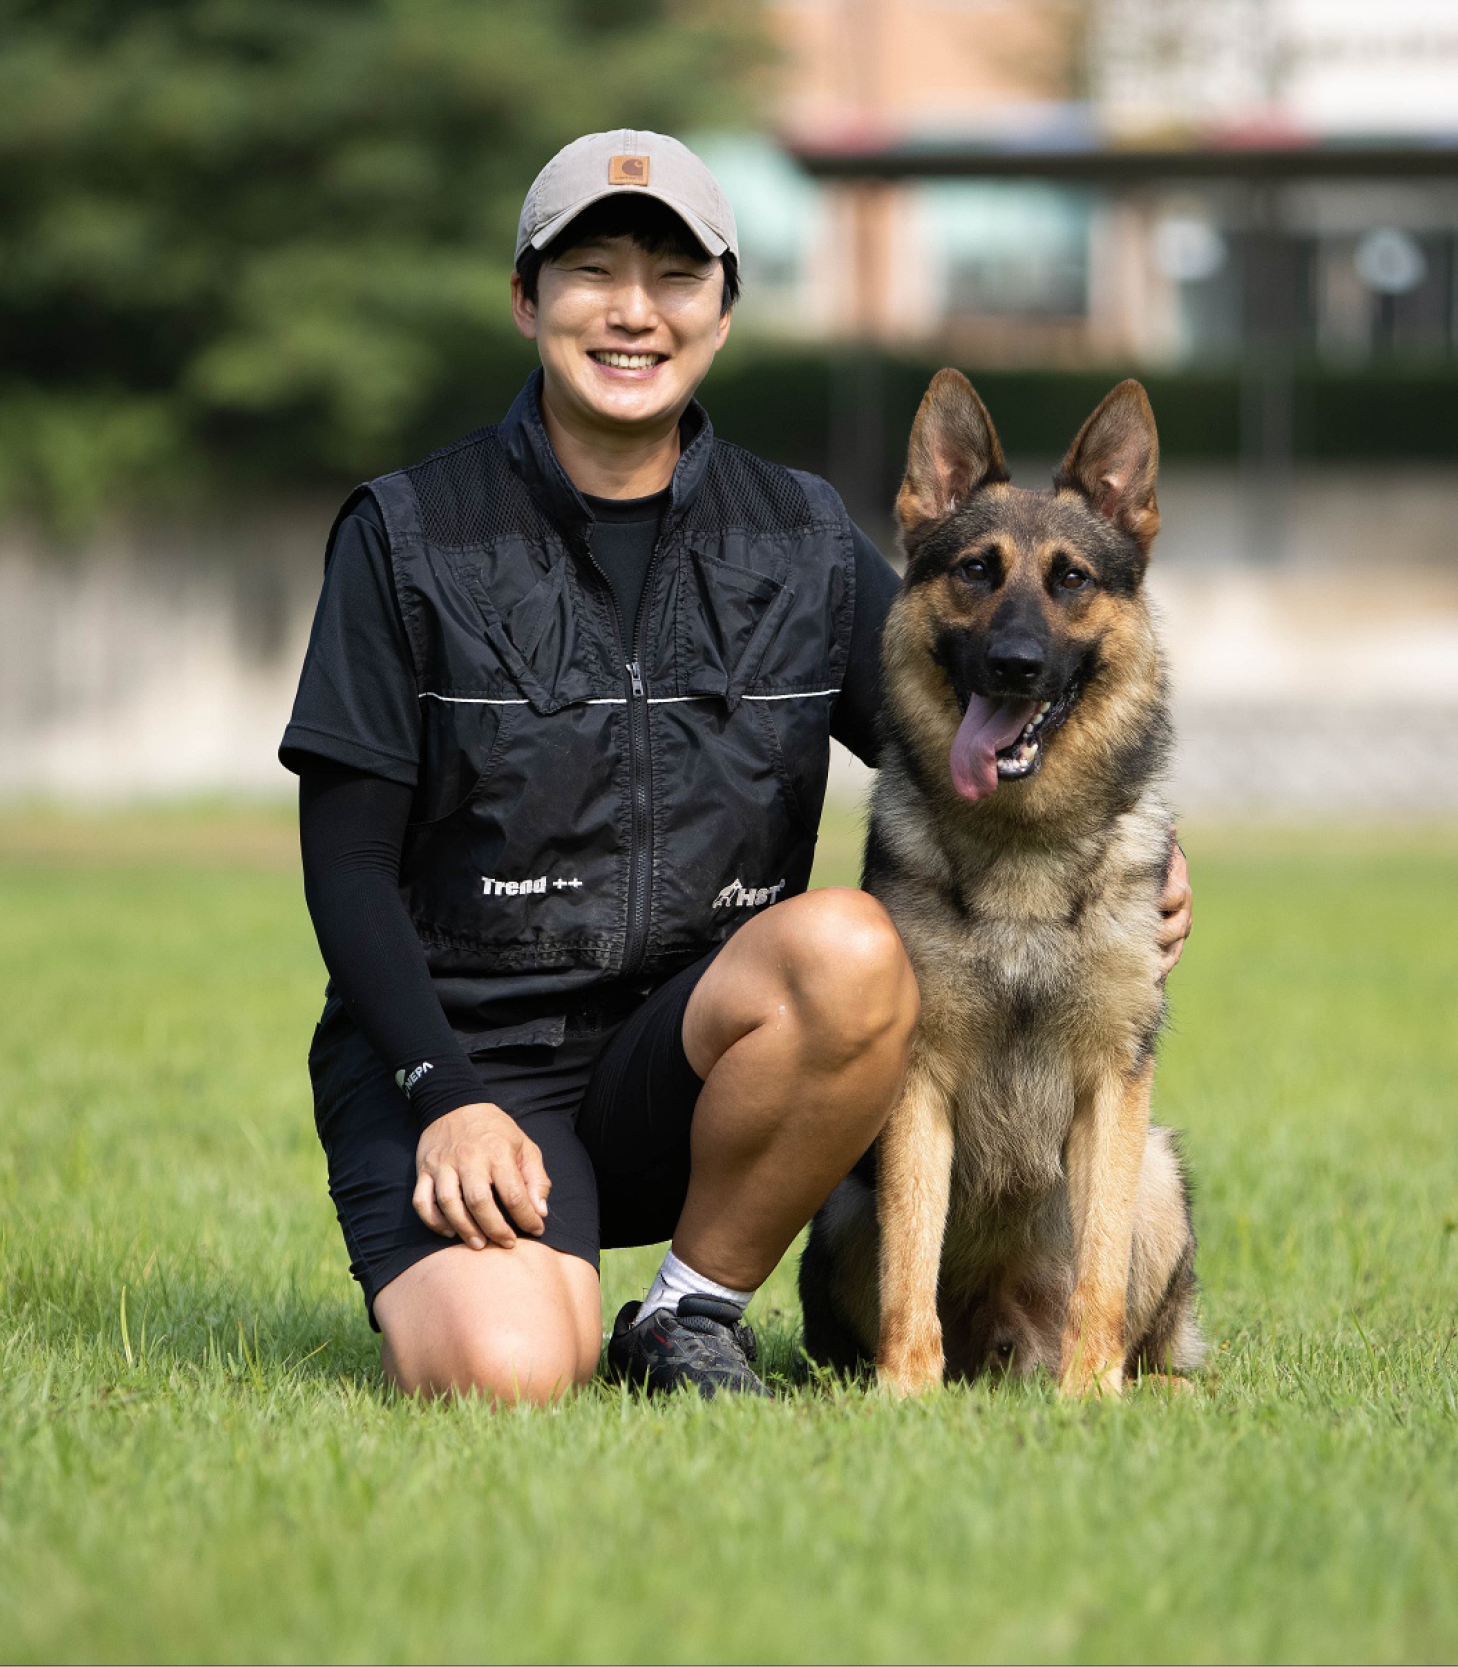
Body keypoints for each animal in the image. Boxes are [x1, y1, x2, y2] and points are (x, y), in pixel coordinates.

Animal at [803, 375, 1206, 1393]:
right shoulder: (917, 1087)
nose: (1014, 664)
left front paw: (1090, 1394)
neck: (1023, 847)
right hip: (840, 1209)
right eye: (977, 571)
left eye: (1071, 580)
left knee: (1149, 1332)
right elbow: (911, 1253)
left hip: (1158, 1167)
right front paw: (906, 1388)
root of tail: (1004, 1340)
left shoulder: (1111, 1091)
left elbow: (1099, 1265)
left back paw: (1141, 1385)